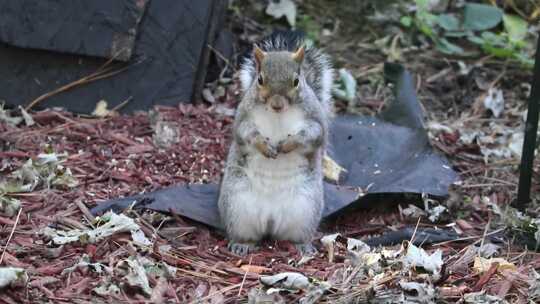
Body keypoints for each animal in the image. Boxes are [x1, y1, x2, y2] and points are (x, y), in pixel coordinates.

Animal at [217, 32, 332, 256]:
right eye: (260, 79)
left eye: (296, 81)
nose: (277, 104)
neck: (278, 115)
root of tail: (270, 219)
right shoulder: (243, 118)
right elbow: (246, 133)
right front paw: (264, 146)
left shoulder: (315, 120)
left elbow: (312, 134)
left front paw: (288, 144)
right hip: (237, 206)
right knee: (245, 233)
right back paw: (242, 244)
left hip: (305, 210)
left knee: (296, 235)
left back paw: (302, 247)